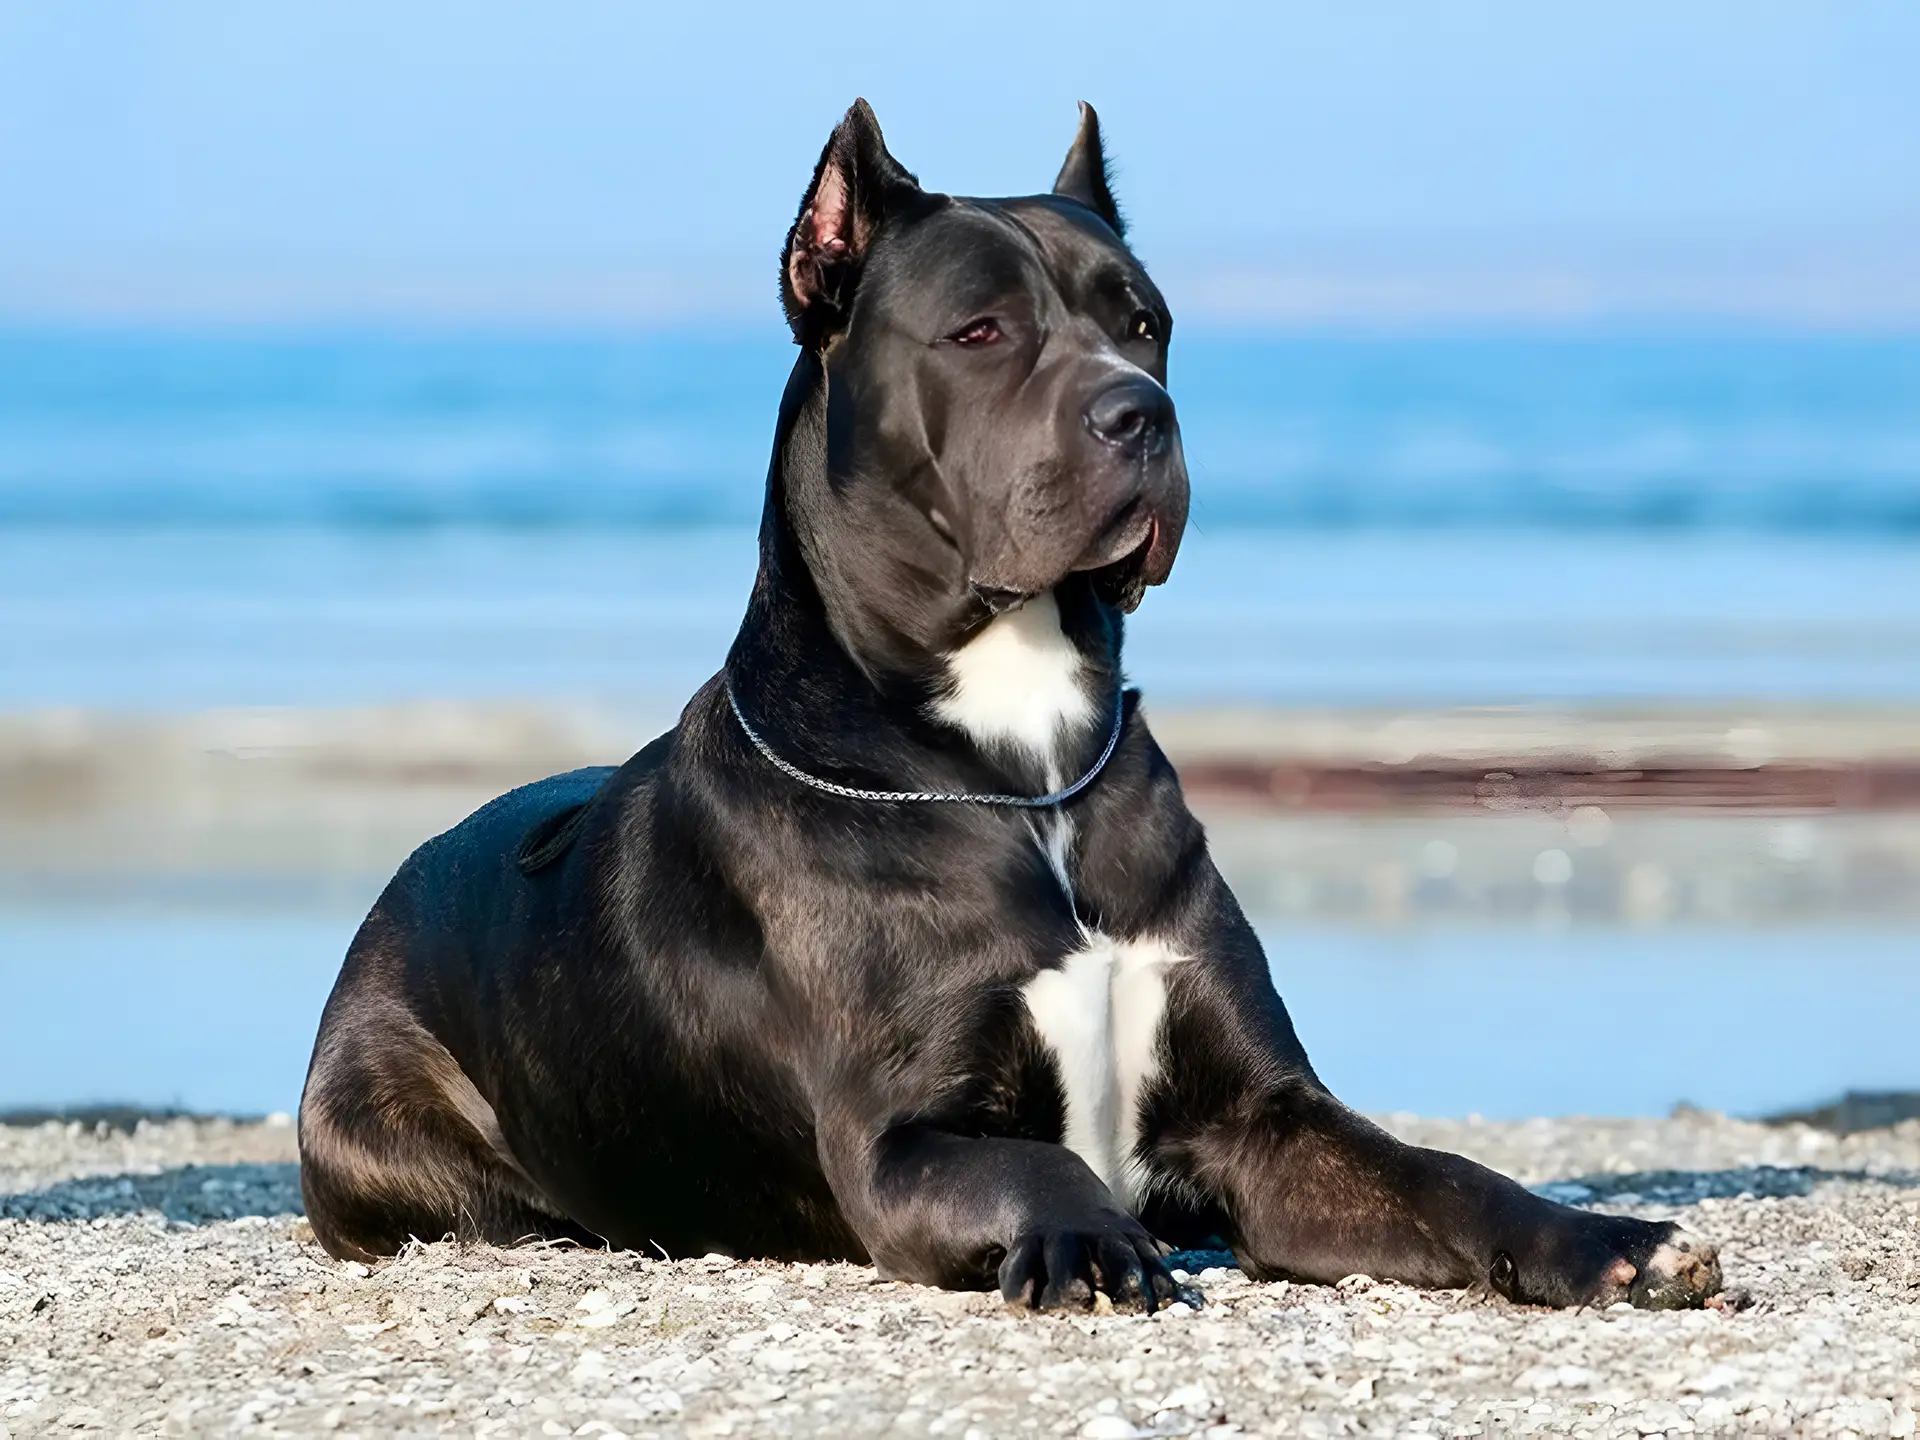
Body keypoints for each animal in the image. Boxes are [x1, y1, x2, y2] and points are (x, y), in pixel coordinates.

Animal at [303, 101, 1728, 1320]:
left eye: (1144, 323)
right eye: (980, 333)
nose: (1141, 414)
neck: (1020, 760)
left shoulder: (1270, 1120)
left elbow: (1439, 1172)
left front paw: (1609, 1240)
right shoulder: (903, 1140)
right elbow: (1044, 1166)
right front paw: (1093, 1240)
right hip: (373, 1132)